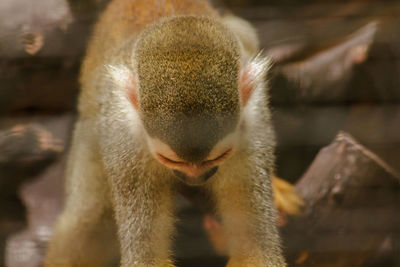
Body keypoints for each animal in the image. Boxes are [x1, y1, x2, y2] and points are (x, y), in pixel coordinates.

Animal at [43, 0, 288, 267]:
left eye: (218, 157)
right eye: (169, 159)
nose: (196, 178)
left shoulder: (252, 128)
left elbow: (258, 252)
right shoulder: (124, 139)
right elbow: (144, 257)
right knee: (88, 216)